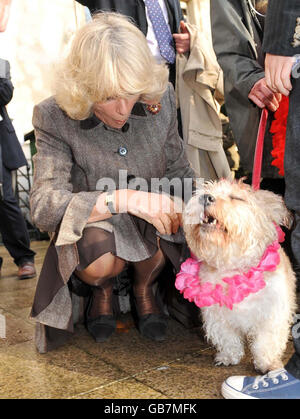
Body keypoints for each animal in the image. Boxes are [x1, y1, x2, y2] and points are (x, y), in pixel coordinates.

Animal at [182, 180, 296, 374]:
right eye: (206, 190)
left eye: (237, 198)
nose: (206, 197)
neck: (233, 266)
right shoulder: (217, 314)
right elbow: (227, 337)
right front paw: (229, 356)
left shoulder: (271, 315)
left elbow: (266, 342)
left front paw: (267, 364)